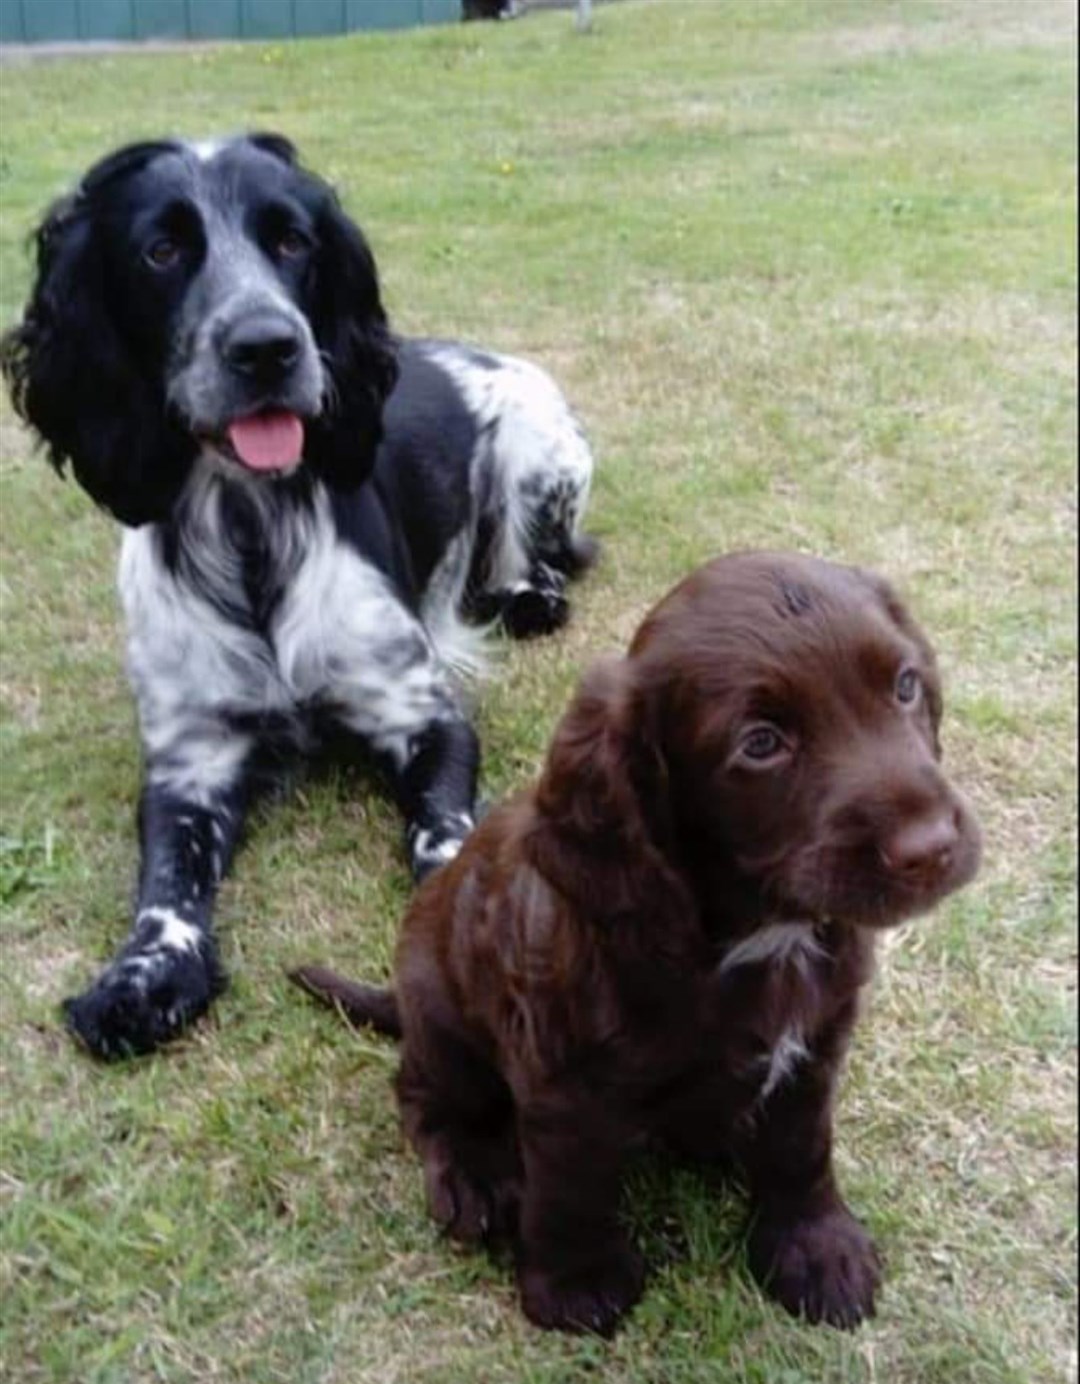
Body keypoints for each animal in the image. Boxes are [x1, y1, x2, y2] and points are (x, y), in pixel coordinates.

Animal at [0, 132, 595, 1057]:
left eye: (291, 240)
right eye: (161, 250)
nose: (267, 346)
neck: (251, 531)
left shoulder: (422, 715)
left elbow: (445, 837)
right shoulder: (189, 759)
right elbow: (165, 887)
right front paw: (142, 977)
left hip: (539, 451)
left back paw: (528, 591)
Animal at [290, 548, 980, 1328]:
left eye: (905, 685)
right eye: (761, 745)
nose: (930, 848)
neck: (755, 937)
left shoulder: (814, 1048)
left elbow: (803, 1149)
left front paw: (817, 1247)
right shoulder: (565, 1081)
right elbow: (571, 1184)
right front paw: (576, 1282)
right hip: (443, 1021)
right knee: (422, 1091)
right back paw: (475, 1175)